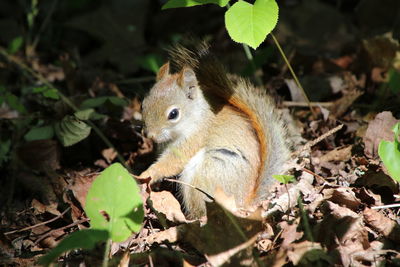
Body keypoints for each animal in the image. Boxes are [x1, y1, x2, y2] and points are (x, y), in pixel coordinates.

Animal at [139, 43, 290, 220]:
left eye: (173, 114)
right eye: (143, 104)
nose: (149, 135)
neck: (195, 117)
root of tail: (245, 202)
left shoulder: (195, 138)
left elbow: (172, 162)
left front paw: (146, 174)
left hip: (207, 175)